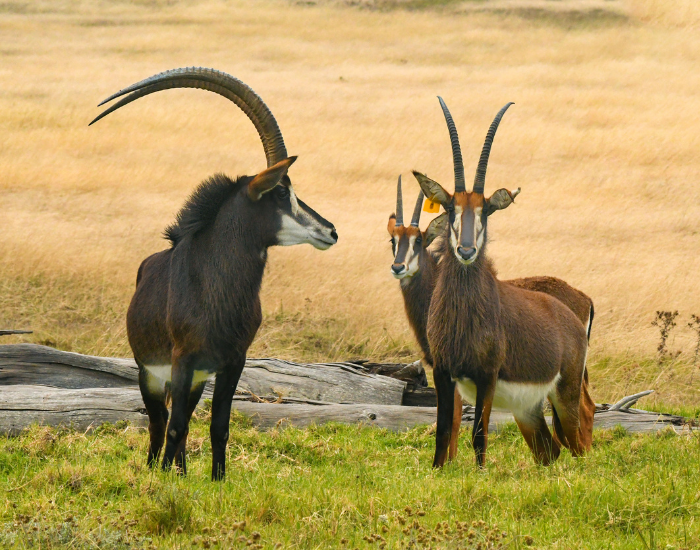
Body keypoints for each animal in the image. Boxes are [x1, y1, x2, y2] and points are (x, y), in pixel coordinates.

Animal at [90, 67, 338, 480]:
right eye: (280, 192)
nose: (331, 231)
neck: (215, 286)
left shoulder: (231, 362)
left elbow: (218, 426)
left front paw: (216, 481)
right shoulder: (183, 360)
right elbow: (174, 427)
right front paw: (163, 482)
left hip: (194, 380)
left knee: (181, 421)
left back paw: (181, 471)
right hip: (151, 375)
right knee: (159, 424)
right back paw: (156, 469)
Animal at [388, 178, 595, 463]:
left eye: (418, 241)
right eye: (393, 241)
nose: (398, 267)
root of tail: (584, 297)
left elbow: (455, 421)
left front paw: (450, 463)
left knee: (585, 409)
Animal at [412, 98, 594, 468]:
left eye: (486, 211)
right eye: (450, 209)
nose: (466, 250)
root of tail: (572, 314)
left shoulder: (488, 375)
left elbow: (478, 434)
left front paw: (481, 473)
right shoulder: (443, 373)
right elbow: (443, 433)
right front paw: (438, 471)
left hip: (565, 394)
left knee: (578, 441)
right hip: (528, 410)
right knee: (549, 450)